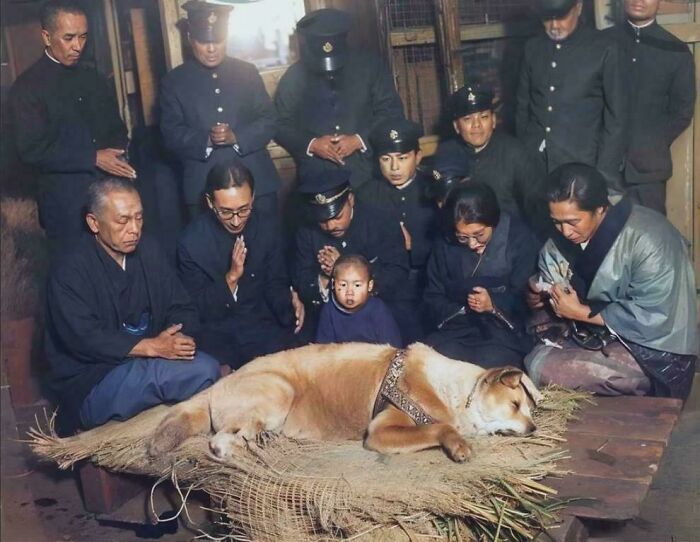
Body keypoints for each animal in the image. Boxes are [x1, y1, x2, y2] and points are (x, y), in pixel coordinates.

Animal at [146, 344, 540, 464]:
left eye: (528, 408)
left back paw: (262, 440)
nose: (534, 428)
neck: (456, 392)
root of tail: (218, 384)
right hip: (278, 391)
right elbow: (439, 427)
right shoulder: (381, 431)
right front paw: (458, 445)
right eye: (514, 404)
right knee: (217, 441)